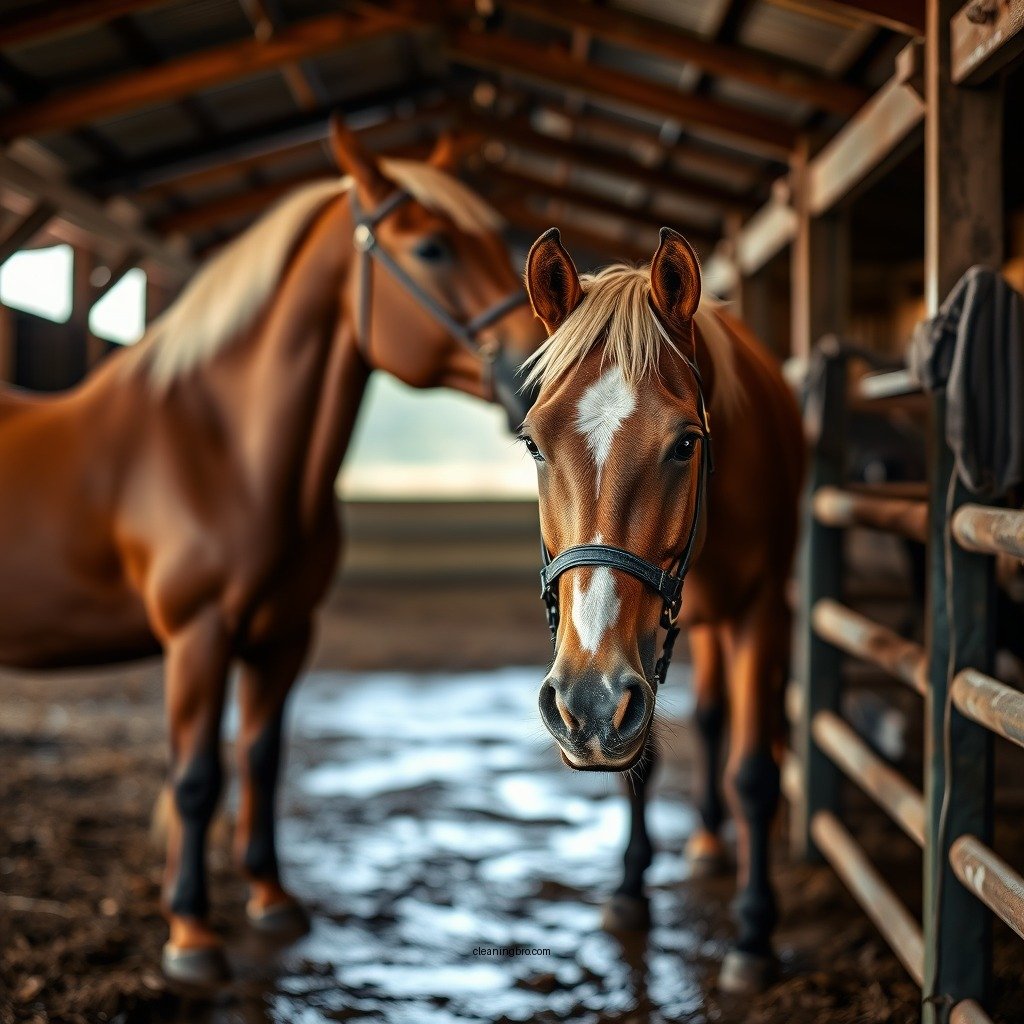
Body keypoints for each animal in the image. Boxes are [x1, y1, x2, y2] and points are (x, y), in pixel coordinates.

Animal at [0, 119, 545, 983]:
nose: (540, 371)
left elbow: (260, 759)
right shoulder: (197, 637)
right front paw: (190, 932)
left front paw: (272, 898)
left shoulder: (283, 636)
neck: (222, 452)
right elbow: (197, 778)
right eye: (430, 248)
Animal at [519, 226, 804, 993]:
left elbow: (753, 772)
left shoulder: (761, 611)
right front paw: (627, 893)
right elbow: (642, 761)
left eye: (684, 443)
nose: (584, 703)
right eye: (533, 443)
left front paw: (755, 937)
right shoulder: (628, 663)